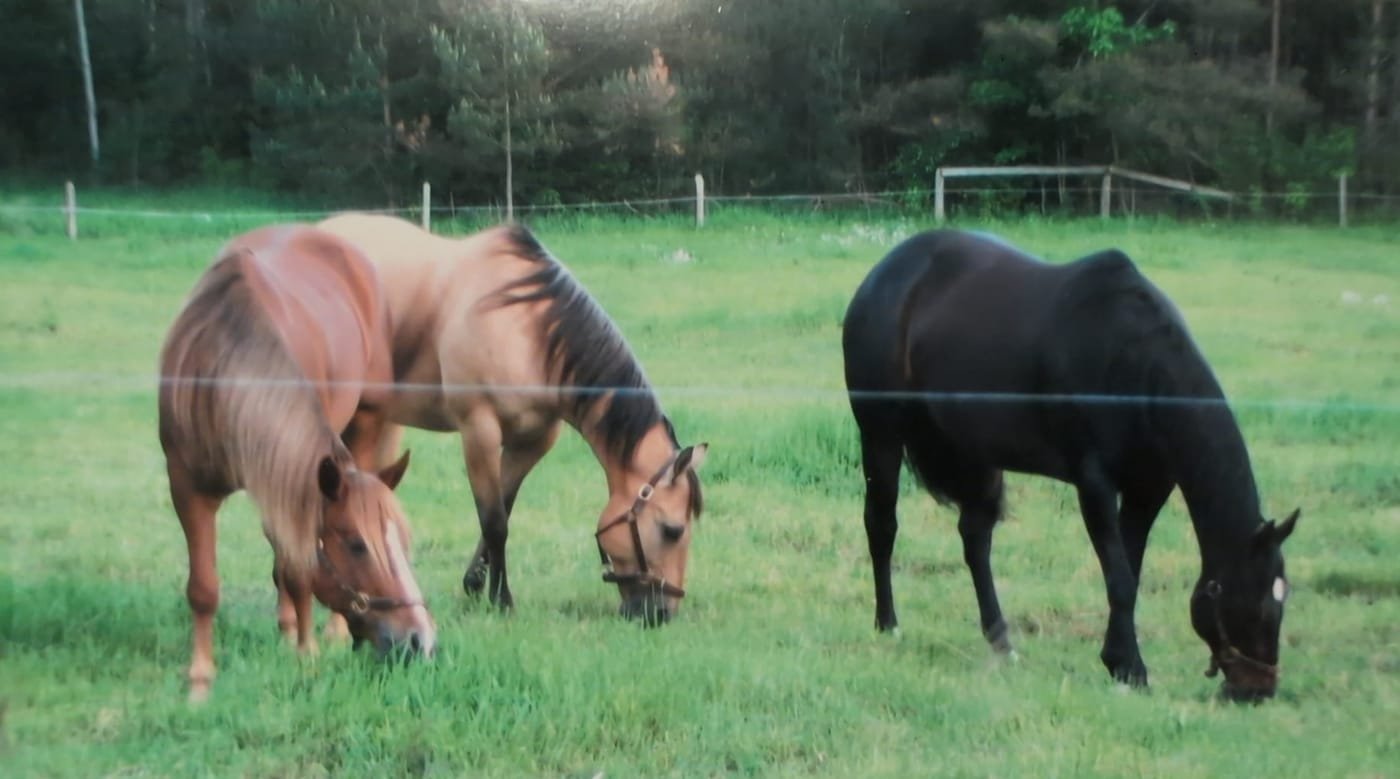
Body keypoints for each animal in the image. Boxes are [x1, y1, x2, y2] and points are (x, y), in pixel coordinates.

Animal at [158, 225, 436, 701]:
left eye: (402, 541)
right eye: (356, 545)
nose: (419, 639)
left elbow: (298, 569)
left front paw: (307, 653)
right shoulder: (189, 487)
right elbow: (204, 587)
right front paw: (200, 680)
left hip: (365, 422)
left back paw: (328, 632)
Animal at [317, 214, 706, 626]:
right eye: (672, 530)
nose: (661, 614)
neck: (526, 329)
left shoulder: (532, 441)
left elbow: (504, 507)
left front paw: (475, 584)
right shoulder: (479, 431)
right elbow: (494, 521)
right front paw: (501, 599)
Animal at [842, 229, 1299, 701]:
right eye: (1256, 606)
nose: (1257, 691)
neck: (1135, 363)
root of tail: (882, 273)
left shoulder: (1147, 487)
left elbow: (1129, 572)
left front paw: (1117, 660)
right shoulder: (1094, 483)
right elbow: (1120, 577)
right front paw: (1131, 667)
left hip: (977, 455)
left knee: (975, 540)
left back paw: (1002, 641)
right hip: (880, 435)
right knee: (882, 525)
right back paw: (888, 624)